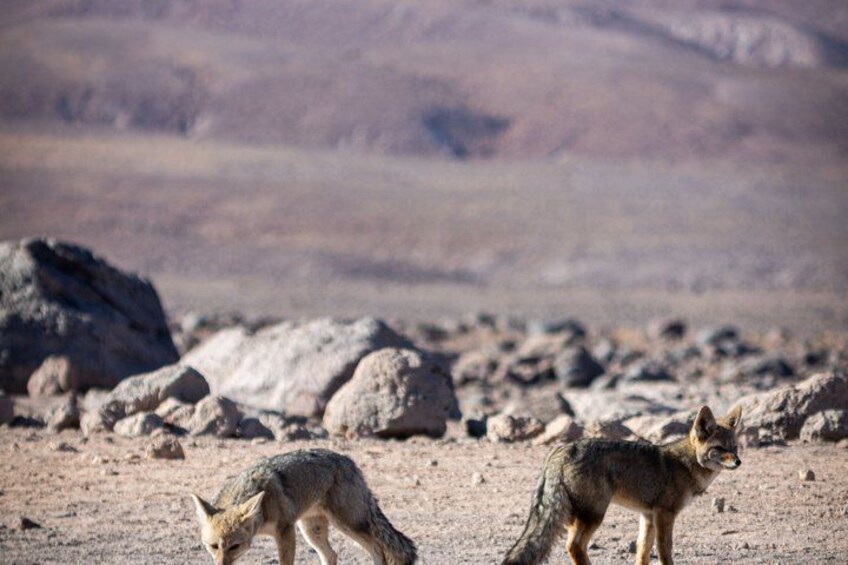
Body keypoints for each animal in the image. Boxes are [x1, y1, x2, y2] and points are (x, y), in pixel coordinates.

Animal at [190, 448, 417, 565]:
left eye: (234, 546)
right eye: (213, 546)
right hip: (311, 531)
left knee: (378, 548)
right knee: (331, 555)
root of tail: (349, 461)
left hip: (347, 524)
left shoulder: (285, 529)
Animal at [502, 404, 742, 565]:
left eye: (735, 448)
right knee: (574, 546)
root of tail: (561, 449)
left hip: (574, 516)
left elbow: (643, 551)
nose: (738, 462)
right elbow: (665, 551)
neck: (687, 463)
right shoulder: (665, 514)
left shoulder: (648, 515)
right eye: (720, 448)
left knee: (572, 545)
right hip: (595, 515)